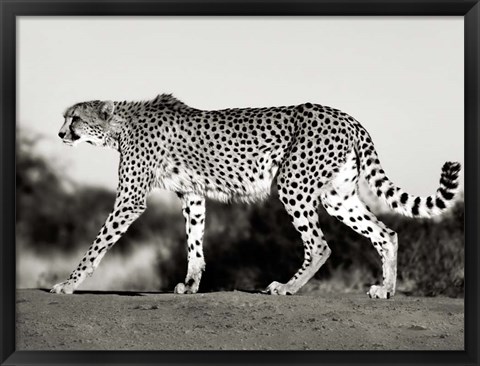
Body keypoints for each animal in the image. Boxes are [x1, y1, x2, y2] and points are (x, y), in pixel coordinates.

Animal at [52, 94, 462, 298]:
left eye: (75, 118)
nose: (59, 134)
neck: (120, 125)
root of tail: (346, 116)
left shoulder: (131, 198)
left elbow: (97, 244)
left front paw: (68, 284)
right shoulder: (193, 194)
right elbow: (194, 242)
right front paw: (191, 284)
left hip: (293, 184)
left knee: (319, 244)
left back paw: (287, 287)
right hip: (338, 196)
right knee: (386, 233)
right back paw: (386, 290)